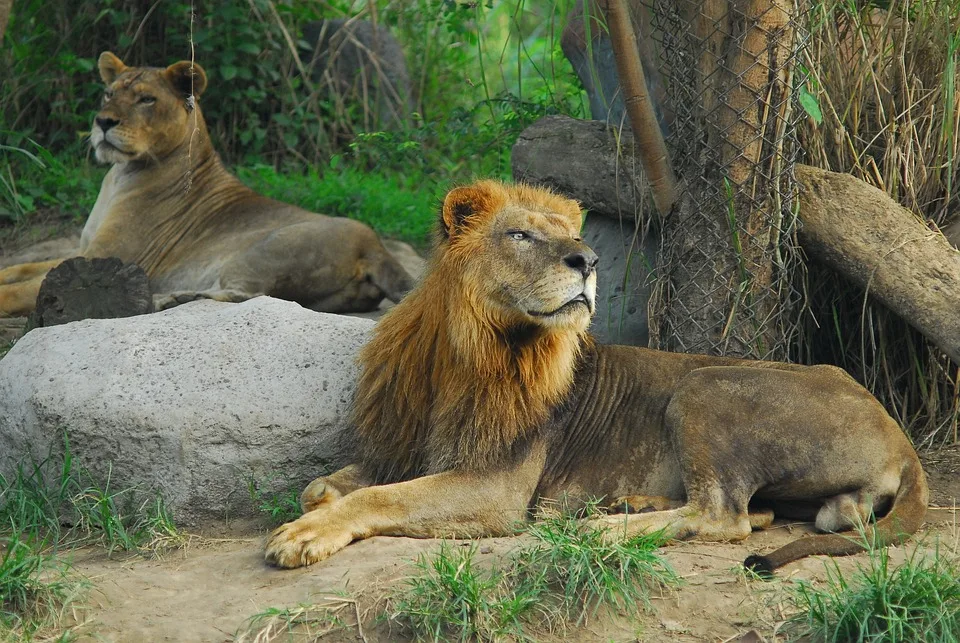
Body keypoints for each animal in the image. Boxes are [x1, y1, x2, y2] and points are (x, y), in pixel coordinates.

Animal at [0, 51, 410, 318]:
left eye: (146, 99)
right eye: (108, 93)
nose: (103, 121)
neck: (118, 175)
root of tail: (375, 246)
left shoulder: (105, 257)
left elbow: (19, 290)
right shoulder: (82, 249)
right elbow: (20, 268)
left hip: (259, 252)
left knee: (250, 297)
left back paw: (168, 300)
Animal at [266, 180, 928, 572]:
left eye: (575, 237)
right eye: (520, 235)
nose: (587, 260)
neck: (468, 353)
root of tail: (900, 438)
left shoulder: (497, 486)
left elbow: (379, 496)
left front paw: (302, 536)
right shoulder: (408, 449)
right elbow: (323, 486)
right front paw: (317, 506)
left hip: (703, 386)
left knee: (726, 516)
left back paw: (604, 531)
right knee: (761, 512)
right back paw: (626, 508)